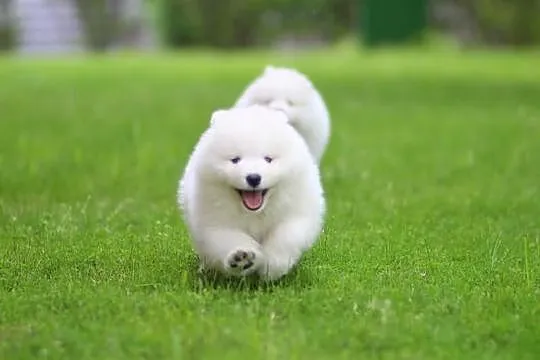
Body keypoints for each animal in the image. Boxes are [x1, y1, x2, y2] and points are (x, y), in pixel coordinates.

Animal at [179, 105, 326, 280]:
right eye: (235, 160)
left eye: (268, 159)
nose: (254, 177)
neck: (255, 213)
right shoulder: (215, 222)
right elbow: (230, 238)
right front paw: (242, 258)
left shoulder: (296, 213)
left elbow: (285, 236)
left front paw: (272, 266)